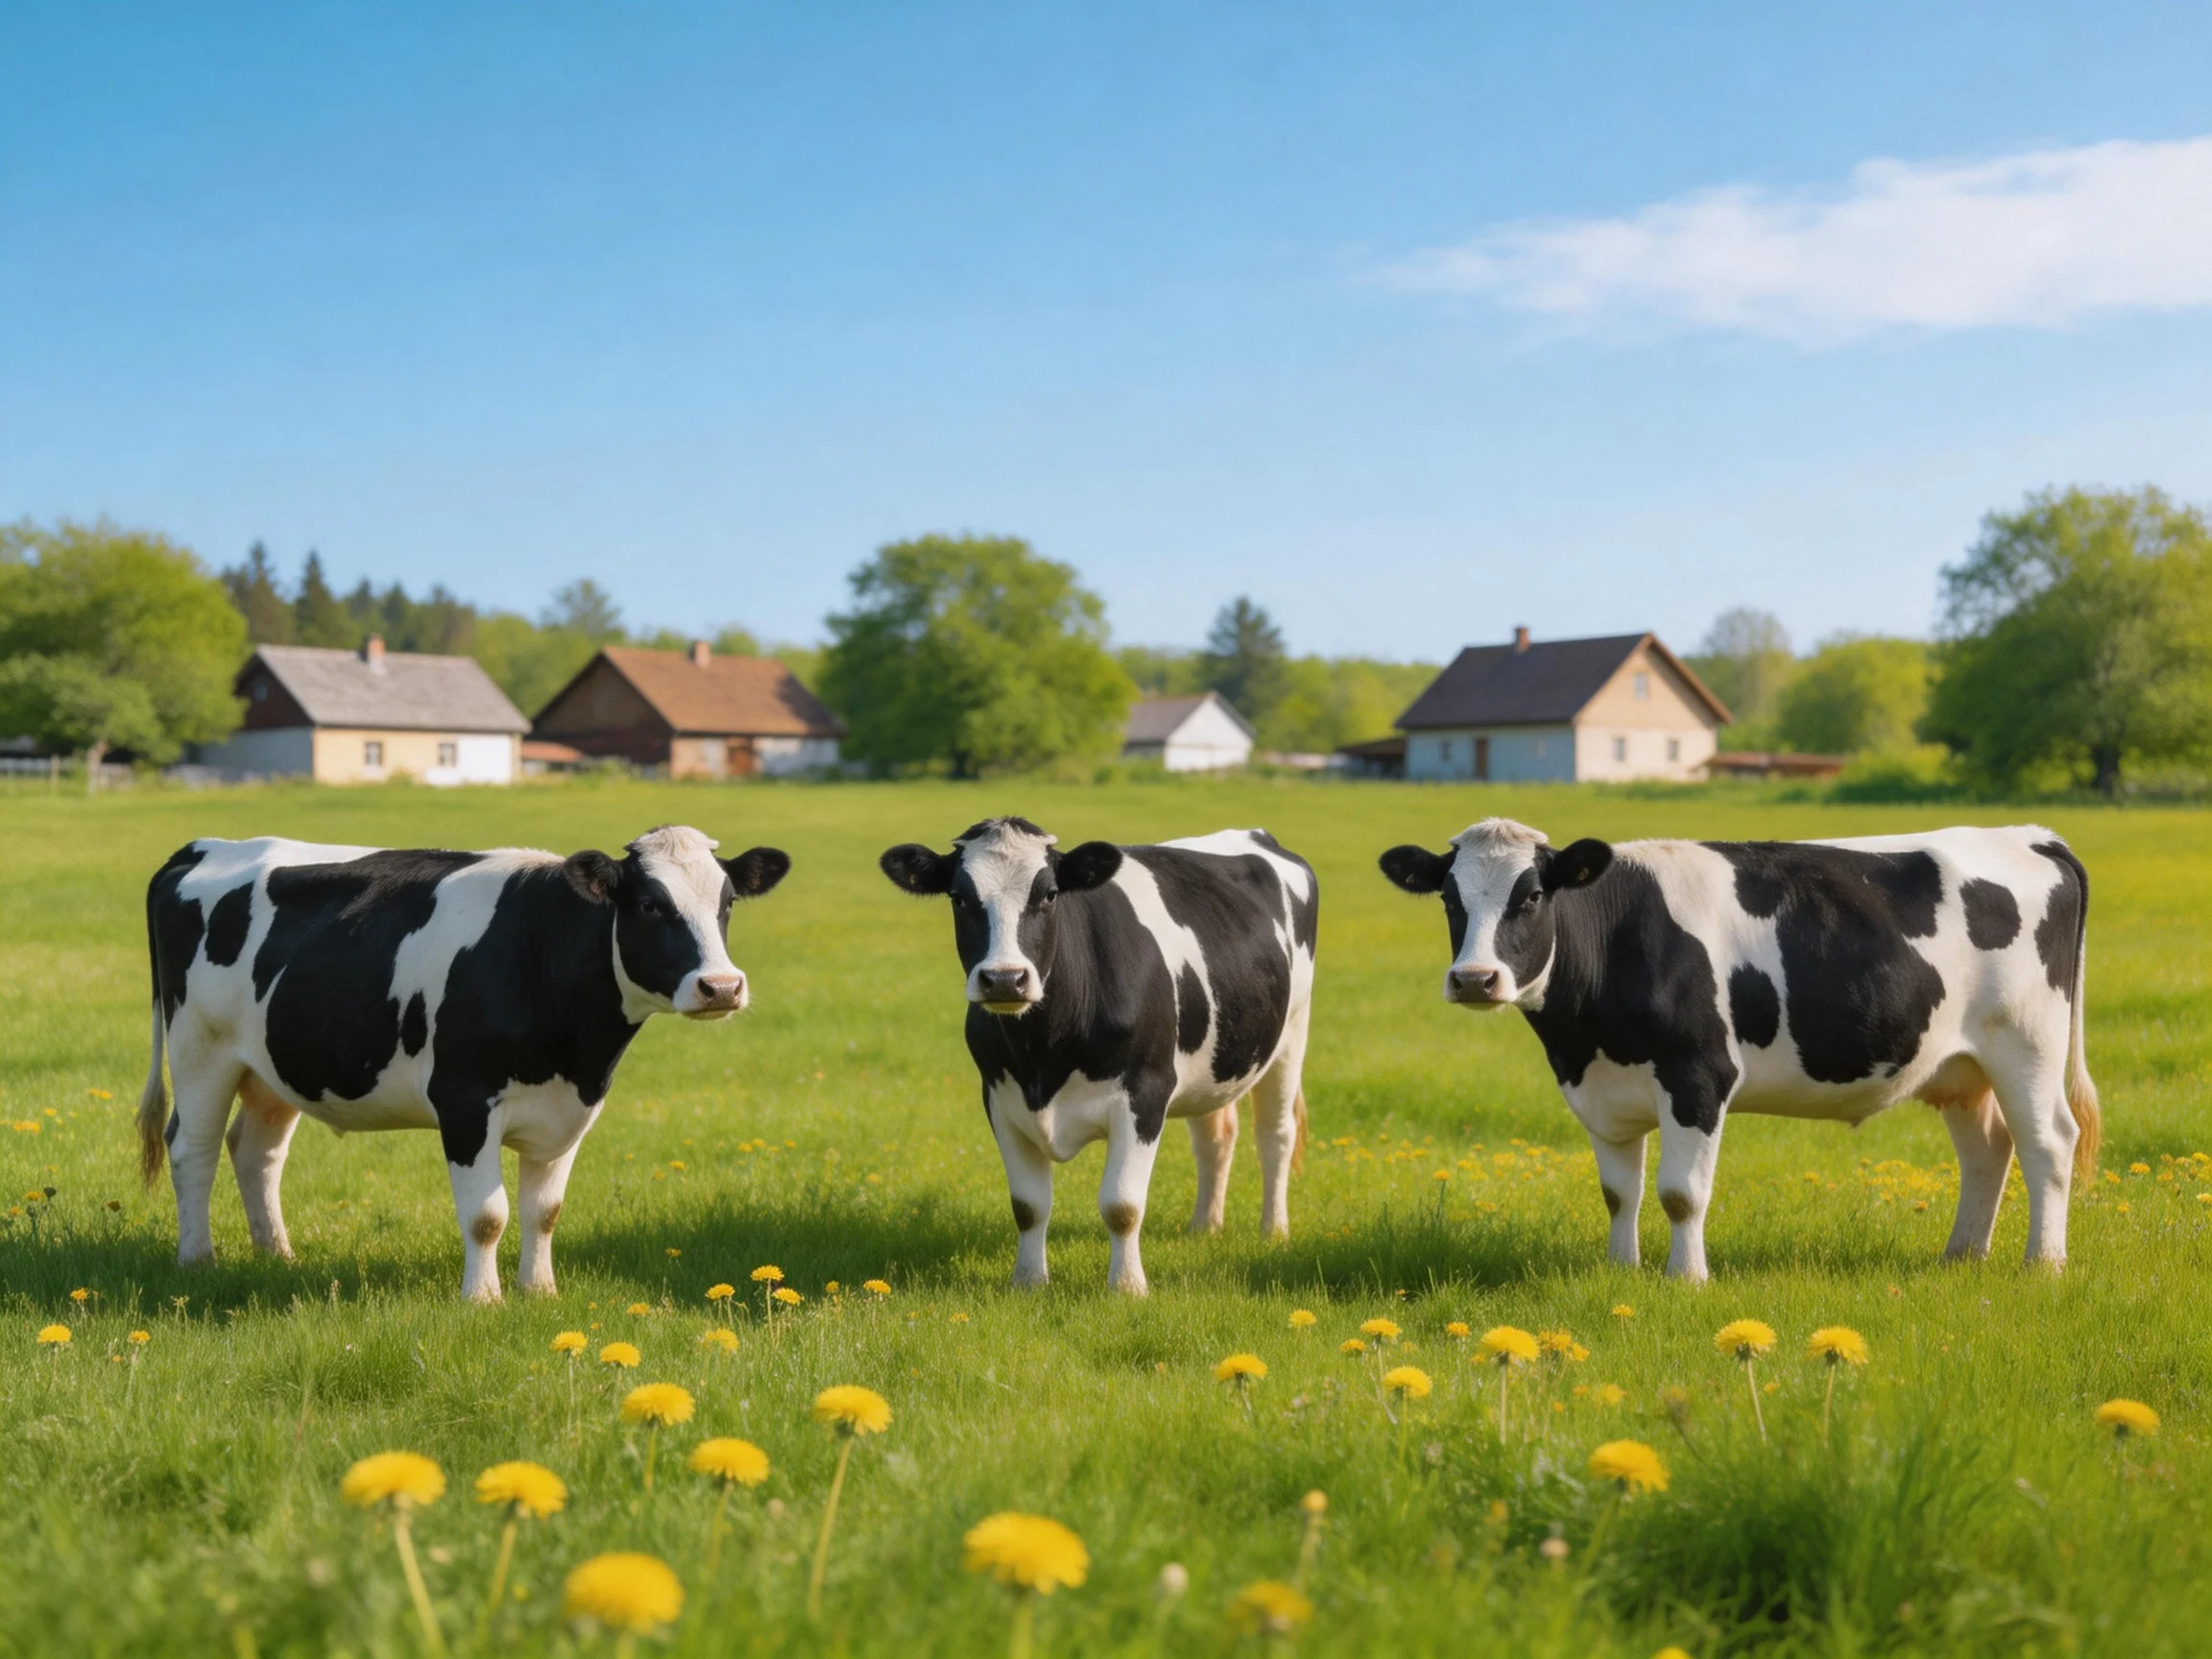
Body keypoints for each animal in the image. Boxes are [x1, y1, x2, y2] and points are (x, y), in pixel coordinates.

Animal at [137, 825, 790, 1300]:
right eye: (652, 905)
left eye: (728, 902)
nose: (721, 986)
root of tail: (206, 846)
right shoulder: (465, 1101)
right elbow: (487, 1215)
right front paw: (483, 1299)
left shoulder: (569, 1109)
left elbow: (545, 1211)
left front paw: (540, 1292)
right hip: (200, 1050)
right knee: (191, 1149)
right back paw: (198, 1260)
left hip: (273, 1064)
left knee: (256, 1152)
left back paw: (278, 1255)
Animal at [879, 818, 1317, 1294]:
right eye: (959, 897)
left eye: (1050, 894)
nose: (1005, 979)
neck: (1042, 1055)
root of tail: (1254, 834)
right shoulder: (998, 1097)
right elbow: (1028, 1205)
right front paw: (1028, 1282)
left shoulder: (1144, 1094)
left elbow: (1121, 1205)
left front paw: (1127, 1288)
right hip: (1213, 1058)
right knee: (1215, 1137)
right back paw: (1204, 1227)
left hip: (1292, 1033)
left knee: (1275, 1134)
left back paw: (1273, 1230)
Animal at [1379, 818, 2098, 1279]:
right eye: (1449, 901)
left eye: (1530, 896)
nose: (1475, 979)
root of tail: (2028, 835)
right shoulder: (1603, 1092)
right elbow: (1619, 1194)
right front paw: (1620, 1271)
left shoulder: (1698, 1077)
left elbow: (1680, 1194)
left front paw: (1686, 1278)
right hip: (1962, 1066)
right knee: (1988, 1149)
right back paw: (1962, 1256)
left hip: (2027, 1043)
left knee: (2048, 1143)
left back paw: (2044, 1264)